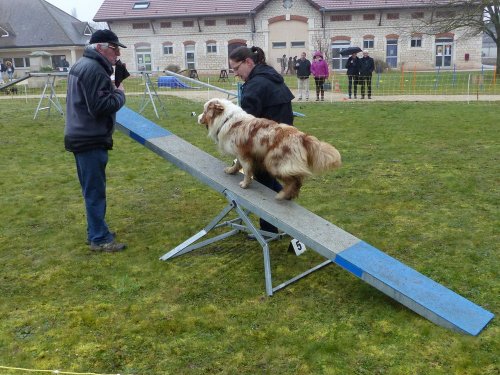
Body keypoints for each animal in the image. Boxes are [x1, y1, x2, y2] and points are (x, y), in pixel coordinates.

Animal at [197, 98, 342, 201]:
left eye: (204, 111)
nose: (198, 118)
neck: (226, 119)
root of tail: (302, 137)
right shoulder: (240, 153)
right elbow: (237, 164)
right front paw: (231, 170)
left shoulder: (244, 154)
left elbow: (247, 170)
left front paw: (245, 184)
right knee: (298, 181)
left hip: (274, 163)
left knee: (295, 180)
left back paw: (283, 195)